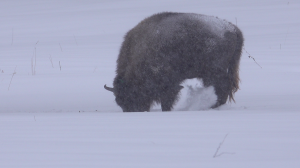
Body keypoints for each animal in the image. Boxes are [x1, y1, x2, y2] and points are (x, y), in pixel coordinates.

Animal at [104, 11, 243, 111]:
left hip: (214, 72)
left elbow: (167, 100)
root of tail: (233, 30)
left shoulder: (169, 85)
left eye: (133, 96)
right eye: (119, 102)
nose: (133, 111)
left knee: (222, 87)